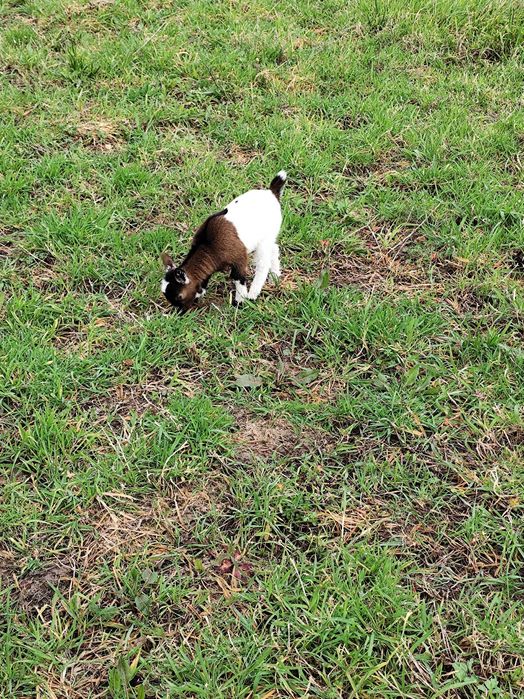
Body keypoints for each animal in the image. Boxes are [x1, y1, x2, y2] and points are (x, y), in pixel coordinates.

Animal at [161, 171, 286, 311]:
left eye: (180, 296)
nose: (180, 312)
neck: (209, 245)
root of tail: (272, 193)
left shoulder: (238, 257)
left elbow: (238, 278)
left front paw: (239, 302)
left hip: (265, 239)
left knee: (263, 264)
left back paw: (253, 294)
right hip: (268, 238)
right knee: (274, 249)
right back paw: (275, 278)